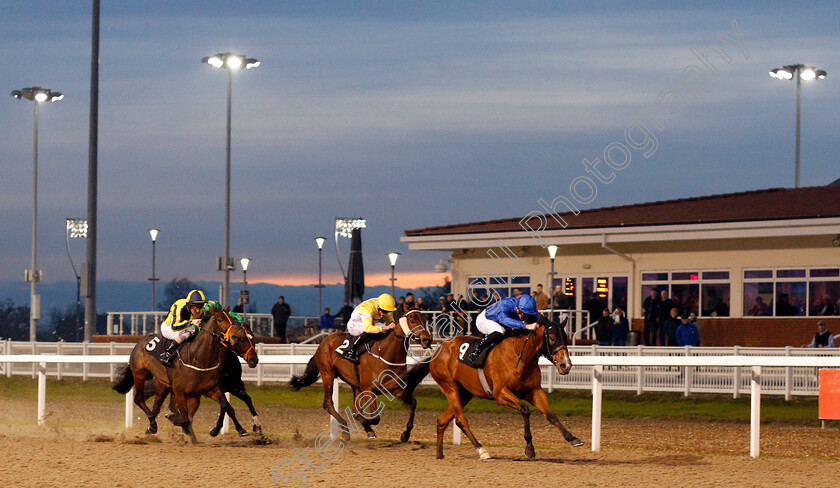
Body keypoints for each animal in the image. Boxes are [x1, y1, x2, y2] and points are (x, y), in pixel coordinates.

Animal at [111, 308, 258, 442]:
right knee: (140, 400)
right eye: (219, 320)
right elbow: (186, 418)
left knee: (158, 407)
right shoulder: (181, 391)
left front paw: (239, 429)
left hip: (169, 387)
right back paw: (153, 426)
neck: (198, 358)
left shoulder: (213, 388)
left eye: (252, 338)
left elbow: (225, 406)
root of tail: (139, 343)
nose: (253, 359)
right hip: (140, 375)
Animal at [290, 308, 434, 442]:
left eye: (425, 320)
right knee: (329, 403)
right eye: (412, 321)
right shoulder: (369, 390)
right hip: (328, 375)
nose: (427, 339)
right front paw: (363, 422)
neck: (386, 353)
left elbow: (413, 403)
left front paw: (405, 434)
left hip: (355, 384)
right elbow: (374, 417)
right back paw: (346, 431)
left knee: (354, 407)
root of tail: (322, 343)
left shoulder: (395, 387)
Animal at [402, 314, 584, 460]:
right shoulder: (500, 393)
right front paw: (529, 448)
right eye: (552, 338)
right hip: (449, 387)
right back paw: (482, 450)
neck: (519, 355)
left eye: (565, 338)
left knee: (442, 420)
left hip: (465, 392)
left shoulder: (534, 391)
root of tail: (439, 349)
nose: (565, 365)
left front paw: (572, 438)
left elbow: (550, 415)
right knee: (461, 419)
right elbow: (525, 410)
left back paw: (439, 454)